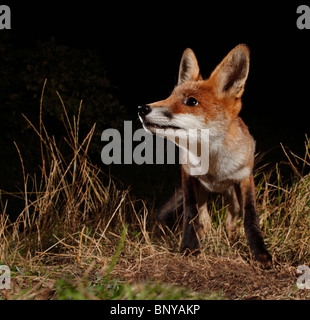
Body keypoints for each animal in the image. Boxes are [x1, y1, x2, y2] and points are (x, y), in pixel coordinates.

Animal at [138, 44, 272, 268]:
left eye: (191, 101)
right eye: (169, 97)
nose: (142, 108)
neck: (213, 168)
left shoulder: (245, 177)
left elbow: (251, 217)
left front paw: (260, 253)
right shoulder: (187, 175)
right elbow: (191, 214)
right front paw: (189, 246)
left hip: (233, 197)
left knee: (230, 221)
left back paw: (231, 240)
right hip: (203, 192)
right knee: (205, 221)